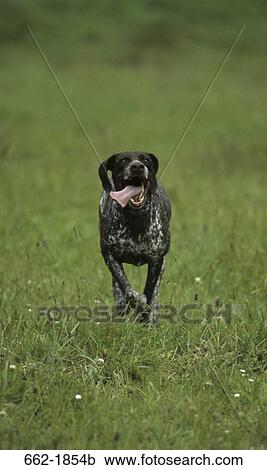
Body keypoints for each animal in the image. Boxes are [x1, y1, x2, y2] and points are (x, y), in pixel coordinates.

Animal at [98, 151, 172, 324]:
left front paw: (145, 316)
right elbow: (126, 287)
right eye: (123, 160)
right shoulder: (109, 256)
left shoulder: (156, 260)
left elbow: (149, 292)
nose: (137, 166)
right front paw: (138, 305)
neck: (135, 217)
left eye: (146, 159)